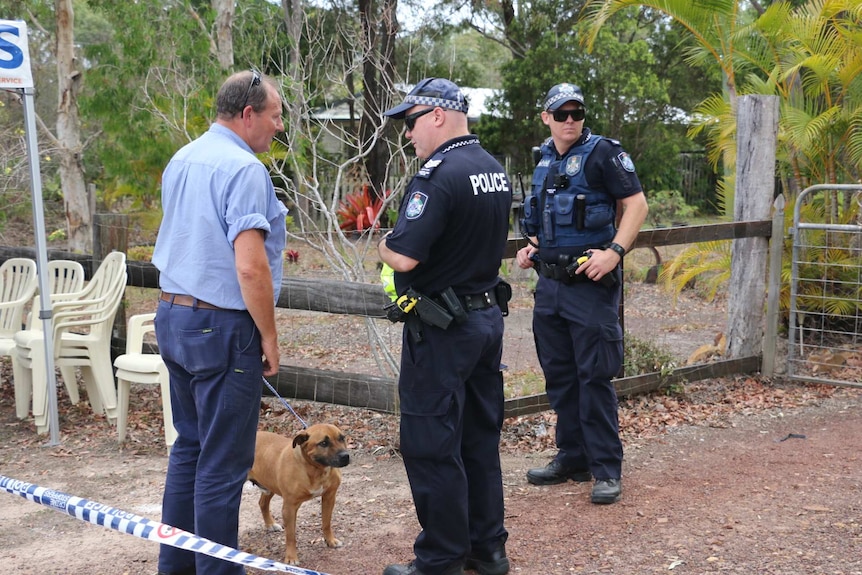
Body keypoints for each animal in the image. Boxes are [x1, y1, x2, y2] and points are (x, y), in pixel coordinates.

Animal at [246, 426, 352, 564]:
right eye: (323, 443)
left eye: (342, 438)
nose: (346, 456)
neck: (316, 470)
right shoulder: (289, 507)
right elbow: (291, 536)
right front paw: (291, 557)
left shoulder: (329, 497)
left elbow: (326, 523)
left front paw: (330, 541)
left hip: (269, 483)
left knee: (262, 503)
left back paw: (270, 524)